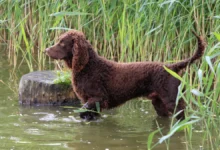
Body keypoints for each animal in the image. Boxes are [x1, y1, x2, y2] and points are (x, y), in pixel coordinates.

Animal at [45, 29, 206, 120]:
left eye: (62, 43)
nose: (46, 50)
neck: (88, 66)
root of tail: (171, 66)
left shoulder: (98, 98)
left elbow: (83, 110)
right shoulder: (91, 101)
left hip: (173, 101)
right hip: (159, 103)